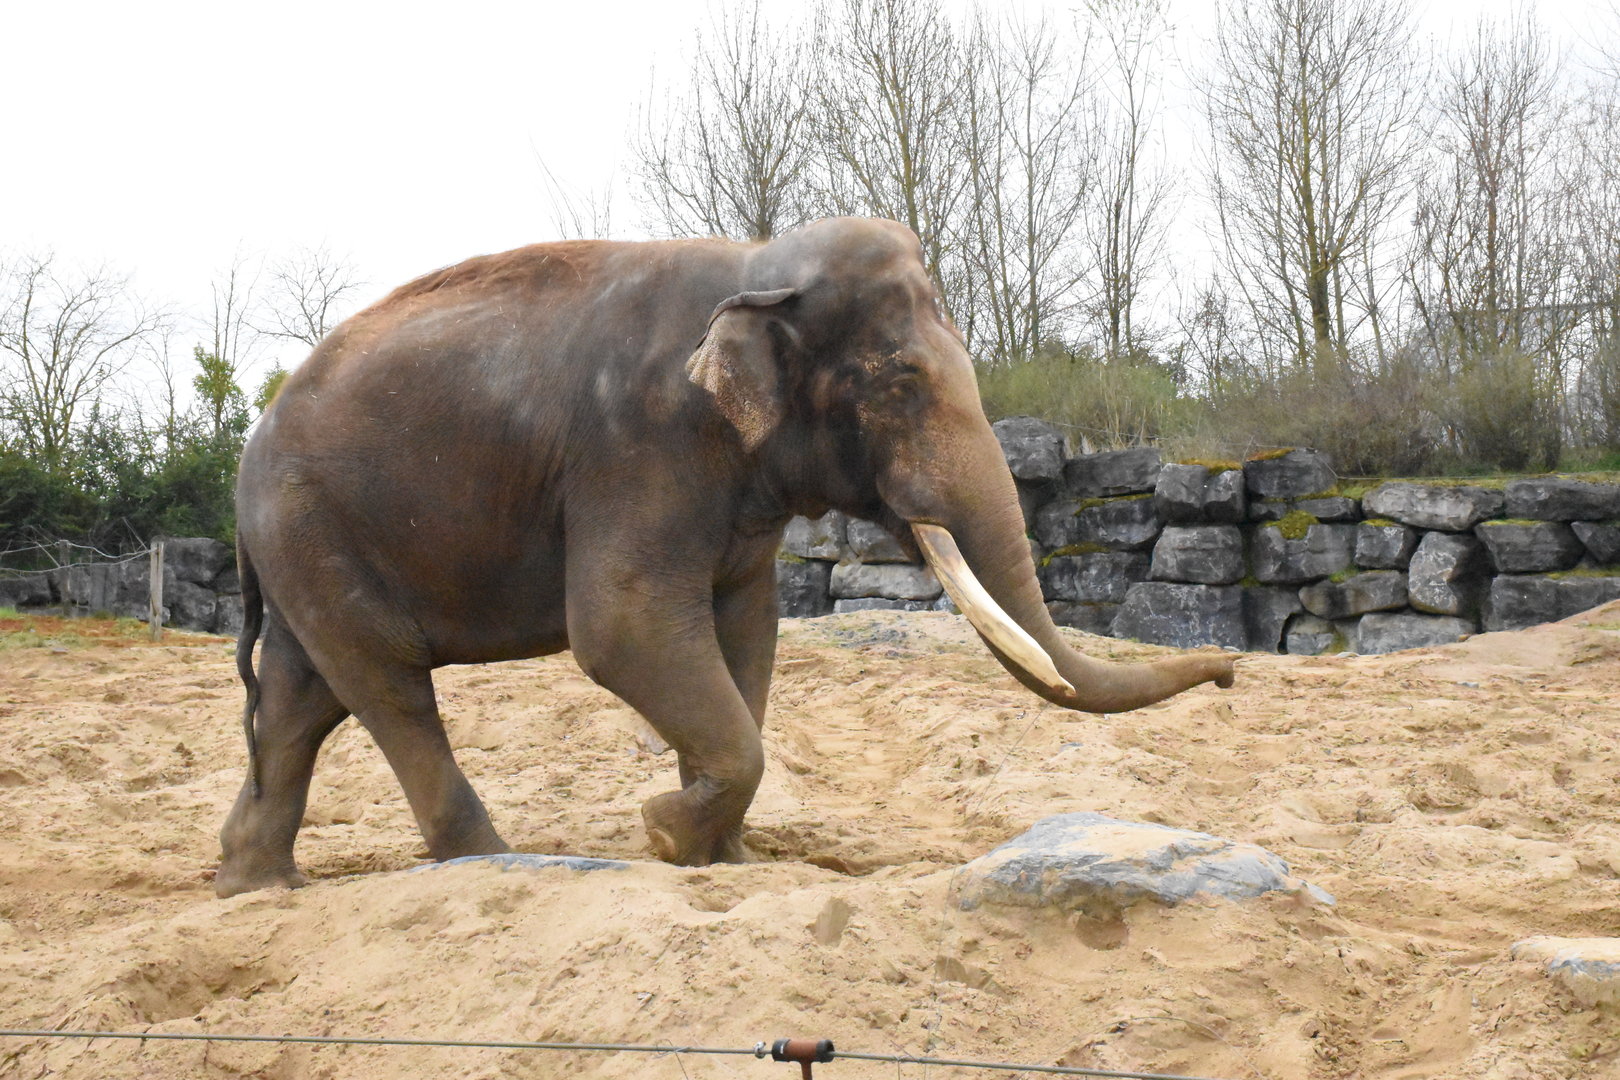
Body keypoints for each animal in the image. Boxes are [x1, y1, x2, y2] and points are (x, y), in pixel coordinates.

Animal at [215, 216, 1234, 898]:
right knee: (387, 687)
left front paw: (722, 859)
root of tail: (246, 458)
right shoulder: (636, 445)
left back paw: (252, 884)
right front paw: (664, 837)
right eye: (900, 381)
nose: (1227, 672)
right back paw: (491, 863)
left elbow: (747, 631)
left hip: (311, 547)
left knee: (305, 699)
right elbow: (621, 629)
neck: (756, 261)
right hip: (311, 529)